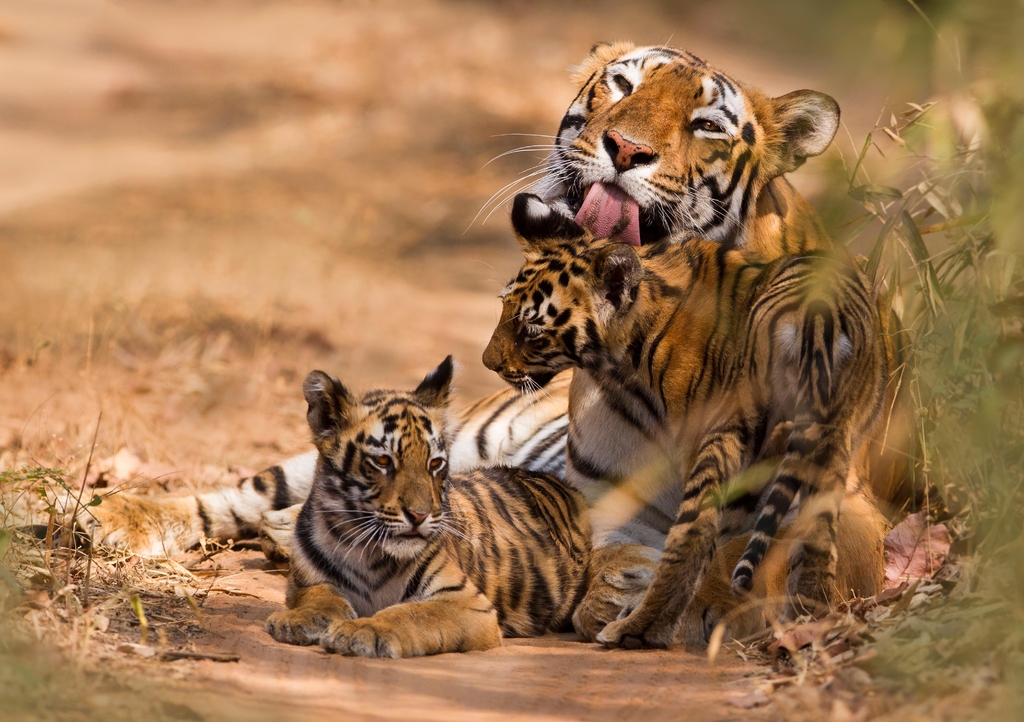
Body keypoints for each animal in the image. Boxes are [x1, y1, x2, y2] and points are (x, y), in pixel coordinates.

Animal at [264, 356, 590, 658]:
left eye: (434, 464)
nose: (419, 516)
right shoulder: (305, 582)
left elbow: (409, 613)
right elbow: (318, 596)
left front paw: (362, 630)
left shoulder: (465, 602)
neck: (365, 552)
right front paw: (296, 620)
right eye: (382, 461)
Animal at [483, 197, 890, 647]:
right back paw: (808, 619)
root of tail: (817, 319)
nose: (488, 362)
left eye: (532, 330)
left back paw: (639, 629)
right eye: (502, 308)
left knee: (696, 539)